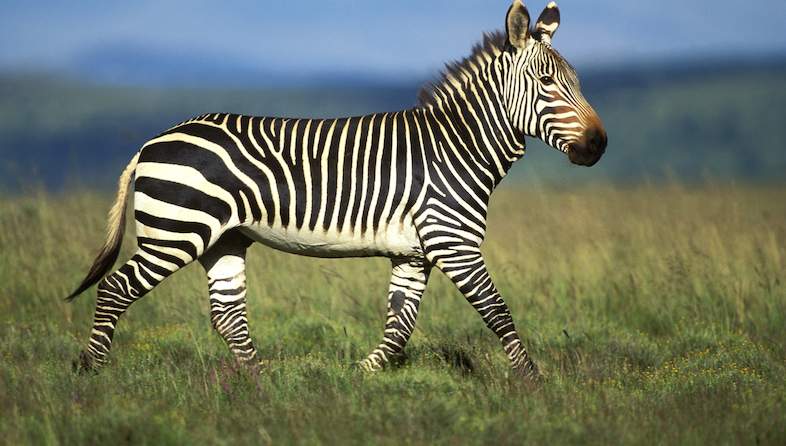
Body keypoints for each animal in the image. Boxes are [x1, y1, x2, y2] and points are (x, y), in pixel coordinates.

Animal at [67, 0, 607, 381]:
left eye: (576, 81)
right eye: (546, 82)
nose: (599, 145)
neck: (457, 146)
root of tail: (151, 142)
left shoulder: (413, 253)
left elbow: (399, 328)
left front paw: (359, 378)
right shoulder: (454, 244)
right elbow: (497, 312)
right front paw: (534, 384)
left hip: (223, 238)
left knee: (228, 314)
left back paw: (264, 385)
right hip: (176, 232)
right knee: (115, 289)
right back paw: (92, 373)